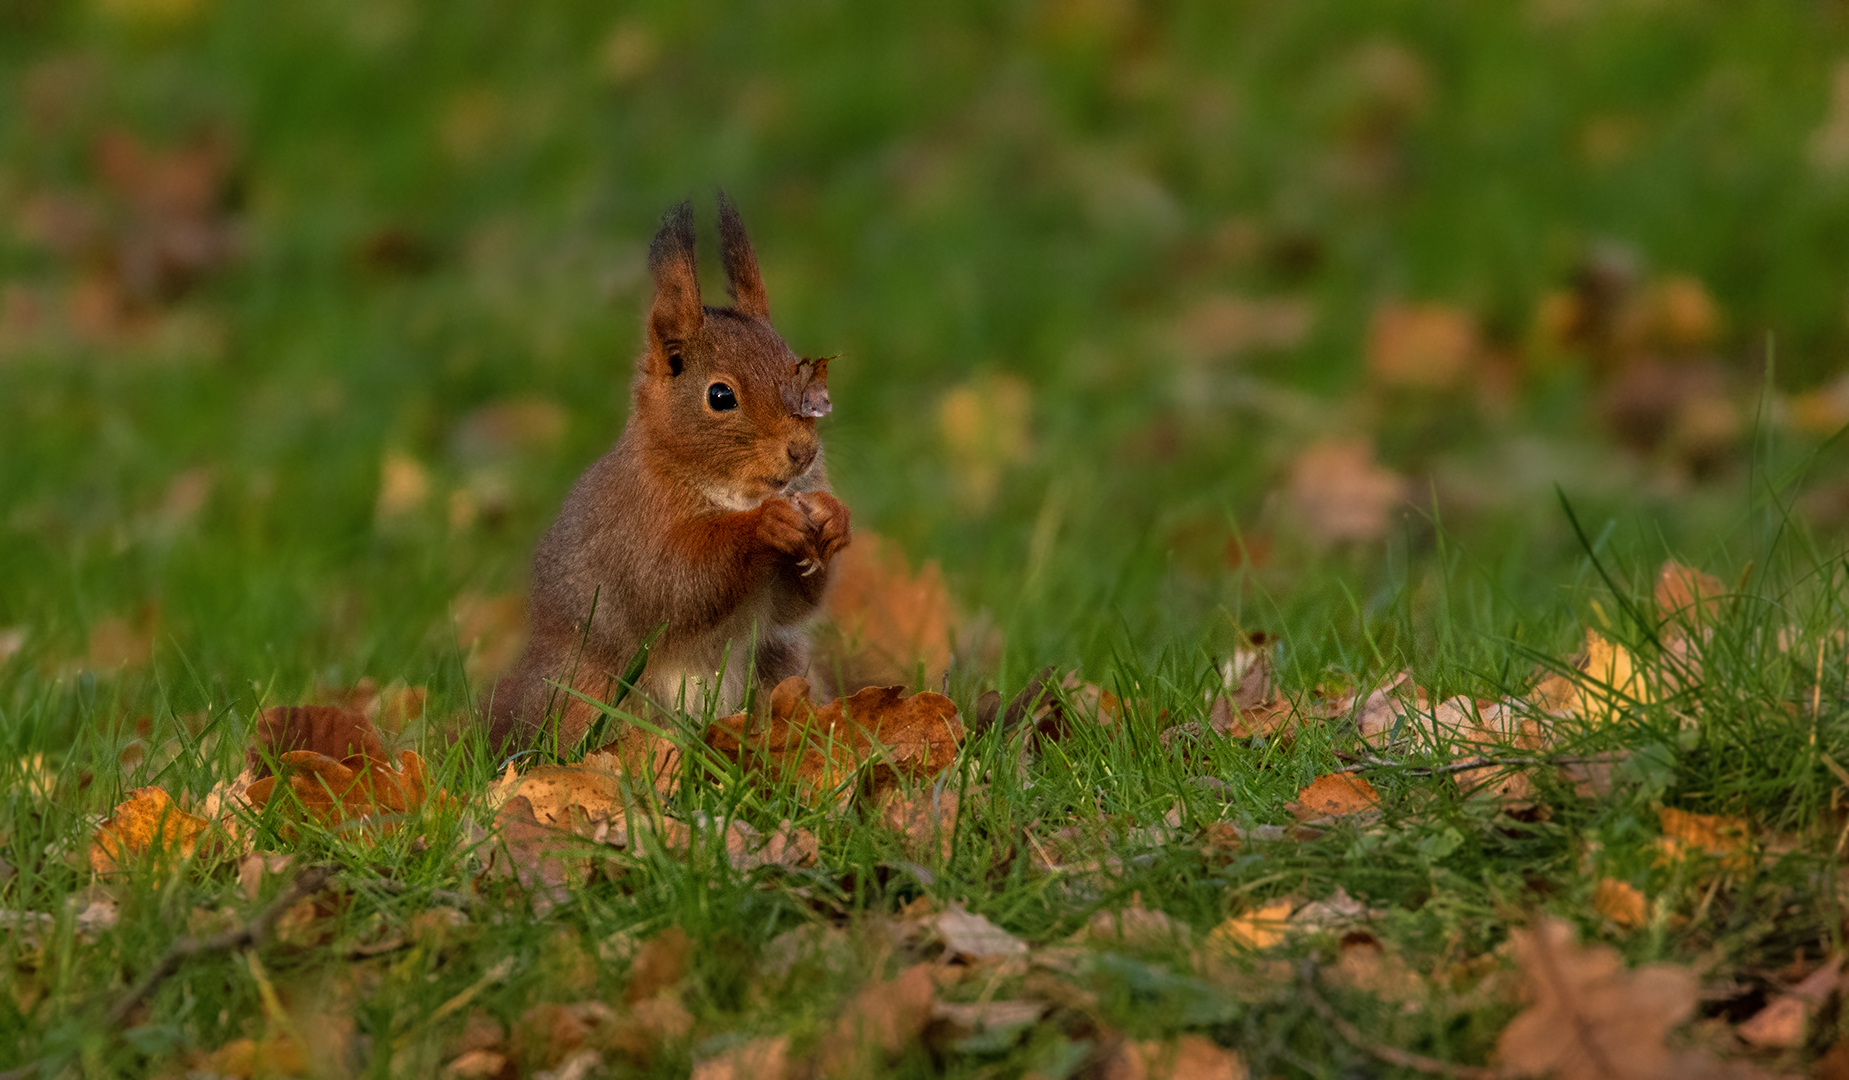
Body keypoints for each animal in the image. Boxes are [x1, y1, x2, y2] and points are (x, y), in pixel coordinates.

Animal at [484, 196, 846, 750]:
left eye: (801, 373)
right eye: (720, 396)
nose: (802, 452)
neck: (728, 492)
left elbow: (791, 606)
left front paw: (831, 517)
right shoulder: (632, 534)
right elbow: (675, 582)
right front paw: (766, 525)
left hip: (779, 667)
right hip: (585, 693)